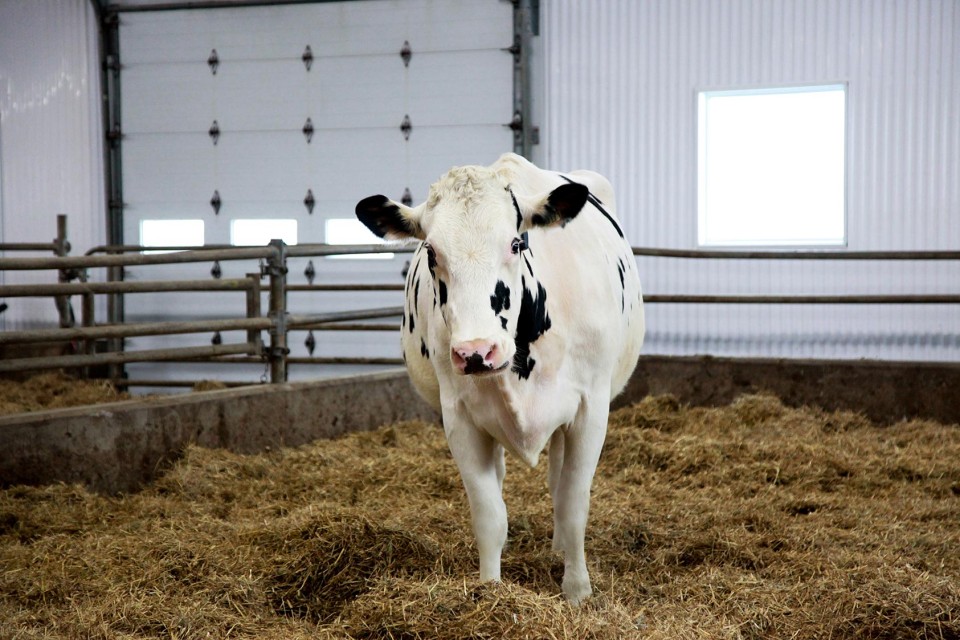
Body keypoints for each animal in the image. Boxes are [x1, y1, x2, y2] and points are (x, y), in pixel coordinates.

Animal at [354, 152, 644, 604]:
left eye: (515, 243)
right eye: (431, 252)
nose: (476, 351)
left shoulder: (591, 408)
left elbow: (574, 504)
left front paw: (577, 591)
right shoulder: (459, 417)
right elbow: (490, 515)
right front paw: (490, 589)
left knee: (558, 482)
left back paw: (559, 547)